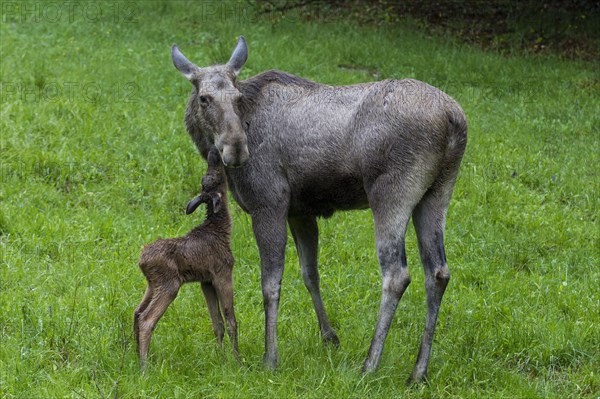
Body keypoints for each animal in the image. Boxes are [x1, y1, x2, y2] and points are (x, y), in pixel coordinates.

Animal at [135, 148, 238, 368]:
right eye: (216, 177)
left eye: (208, 177)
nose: (214, 152)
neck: (223, 230)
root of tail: (141, 261)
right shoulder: (223, 273)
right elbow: (230, 320)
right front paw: (237, 360)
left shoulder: (205, 281)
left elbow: (217, 323)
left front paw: (221, 358)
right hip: (169, 284)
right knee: (146, 320)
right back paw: (144, 366)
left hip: (151, 284)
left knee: (136, 312)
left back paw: (134, 355)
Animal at [171, 36, 466, 384]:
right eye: (204, 98)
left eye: (237, 96)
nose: (237, 149)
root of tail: (454, 120)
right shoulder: (300, 211)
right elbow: (310, 273)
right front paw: (329, 337)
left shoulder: (269, 202)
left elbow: (270, 283)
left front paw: (270, 358)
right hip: (437, 193)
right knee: (438, 272)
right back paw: (418, 372)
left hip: (391, 192)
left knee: (397, 274)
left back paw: (369, 364)